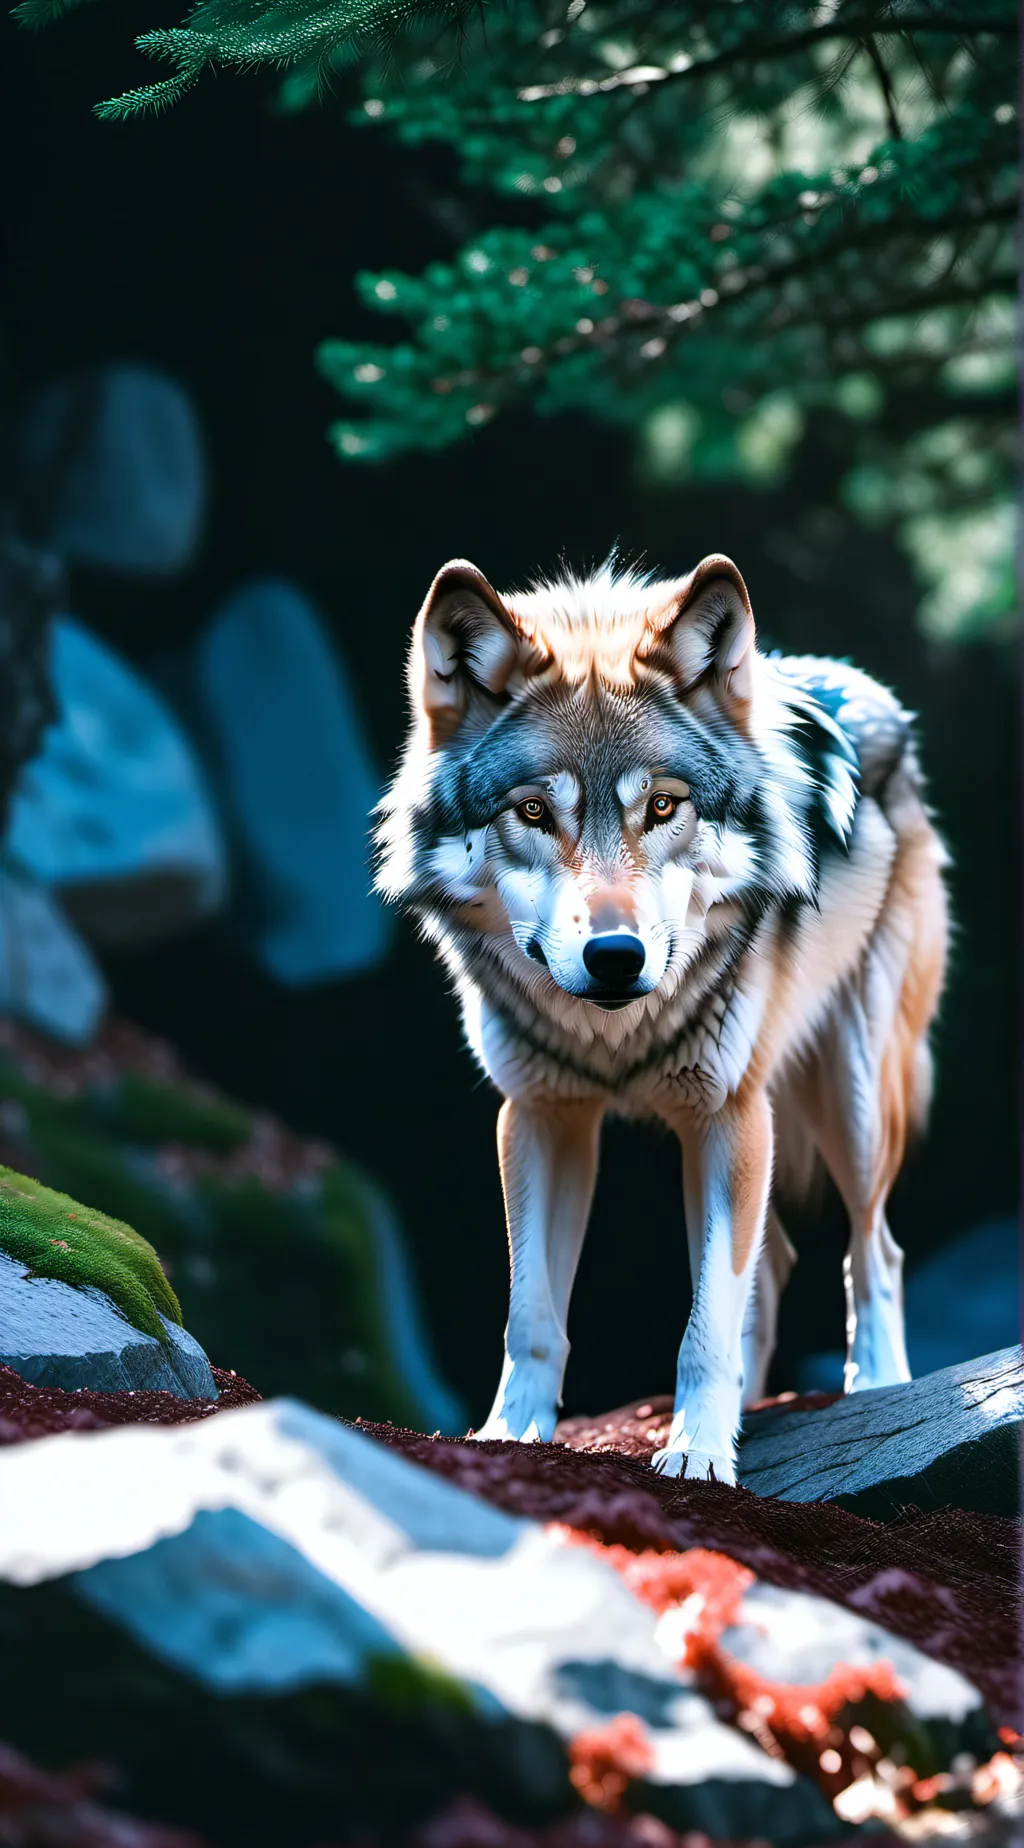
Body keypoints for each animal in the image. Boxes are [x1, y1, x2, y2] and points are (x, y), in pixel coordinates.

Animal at [377, 553, 949, 1482]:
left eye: (662, 808)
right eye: (533, 812)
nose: (615, 956)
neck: (612, 1038)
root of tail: (870, 691)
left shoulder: (725, 1115)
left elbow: (705, 1320)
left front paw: (698, 1454)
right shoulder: (541, 1116)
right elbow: (532, 1316)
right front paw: (509, 1435)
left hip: (853, 1098)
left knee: (875, 1249)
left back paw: (877, 1388)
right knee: (774, 1268)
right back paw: (754, 1409)